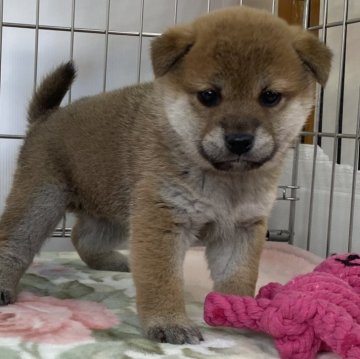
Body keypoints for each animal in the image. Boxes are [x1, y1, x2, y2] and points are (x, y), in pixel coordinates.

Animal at [0, 4, 332, 344]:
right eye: (209, 96)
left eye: (269, 96)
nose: (239, 140)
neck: (225, 182)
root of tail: (46, 118)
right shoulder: (161, 220)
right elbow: (162, 280)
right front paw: (170, 322)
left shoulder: (241, 228)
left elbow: (238, 275)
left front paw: (239, 310)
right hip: (40, 203)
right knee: (13, 246)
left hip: (116, 214)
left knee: (83, 236)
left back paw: (112, 260)